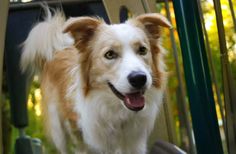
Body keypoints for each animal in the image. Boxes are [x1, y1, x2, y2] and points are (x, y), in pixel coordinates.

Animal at [19, 7, 171, 154]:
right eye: (109, 54)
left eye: (142, 50)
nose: (139, 78)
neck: (118, 114)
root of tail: (57, 48)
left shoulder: (135, 145)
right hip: (59, 130)